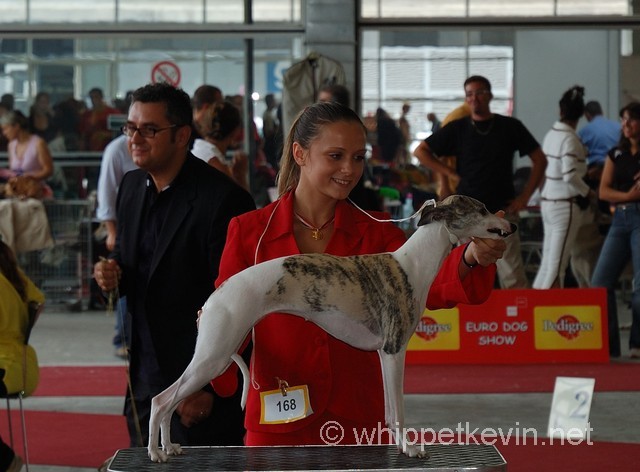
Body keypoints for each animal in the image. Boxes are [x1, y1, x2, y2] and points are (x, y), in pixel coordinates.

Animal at [146, 195, 516, 460]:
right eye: (482, 208)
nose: (511, 225)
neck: (412, 265)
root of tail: (216, 295)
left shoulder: (384, 355)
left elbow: (389, 410)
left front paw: (398, 446)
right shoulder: (394, 350)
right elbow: (399, 410)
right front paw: (411, 448)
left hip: (216, 355)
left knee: (170, 402)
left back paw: (170, 448)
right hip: (215, 355)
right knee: (161, 400)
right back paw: (155, 452)